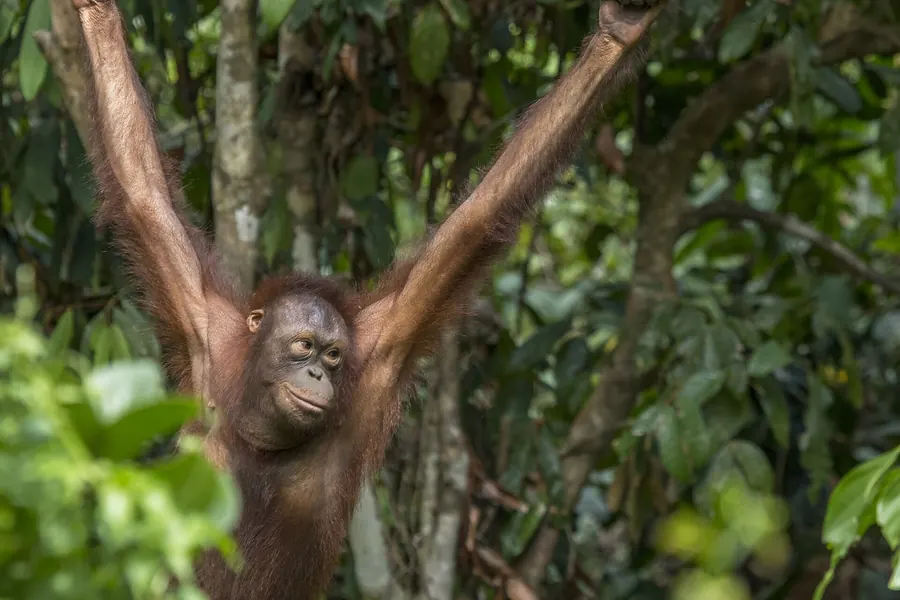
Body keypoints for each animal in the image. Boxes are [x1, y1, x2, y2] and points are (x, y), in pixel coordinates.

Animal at [69, 0, 665, 598]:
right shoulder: (203, 328)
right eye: (303, 345)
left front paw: (618, 35)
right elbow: (142, 194)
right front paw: (96, 15)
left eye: (333, 355)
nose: (317, 374)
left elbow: (477, 222)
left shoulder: (383, 345)